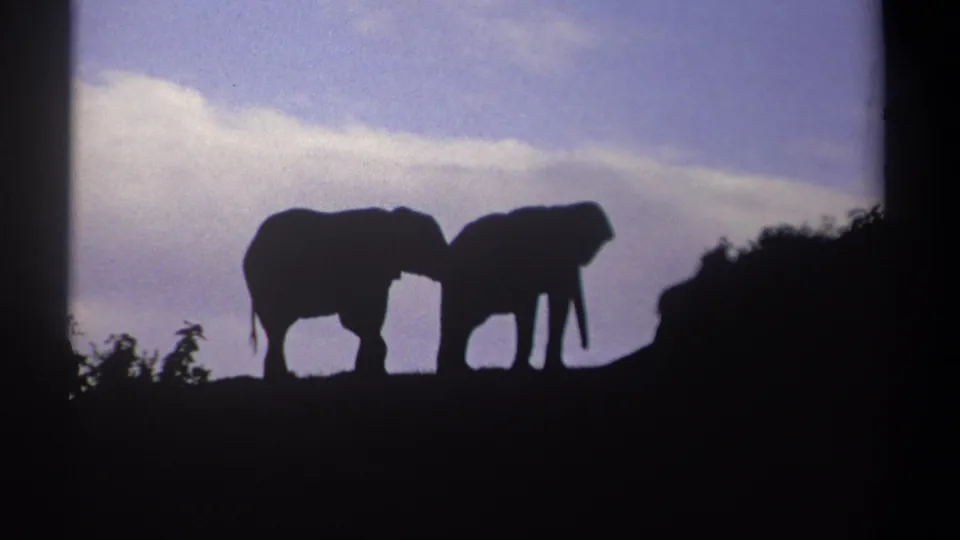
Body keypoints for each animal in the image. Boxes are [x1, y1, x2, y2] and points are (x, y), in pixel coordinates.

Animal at [242, 206, 448, 380]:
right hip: (269, 283)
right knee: (277, 328)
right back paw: (283, 376)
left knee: (277, 330)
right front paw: (372, 372)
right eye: (432, 241)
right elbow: (361, 317)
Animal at [436, 201, 615, 375]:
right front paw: (525, 369)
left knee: (465, 324)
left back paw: (458, 368)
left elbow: (557, 302)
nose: (585, 348)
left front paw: (555, 368)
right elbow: (534, 305)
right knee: (461, 320)